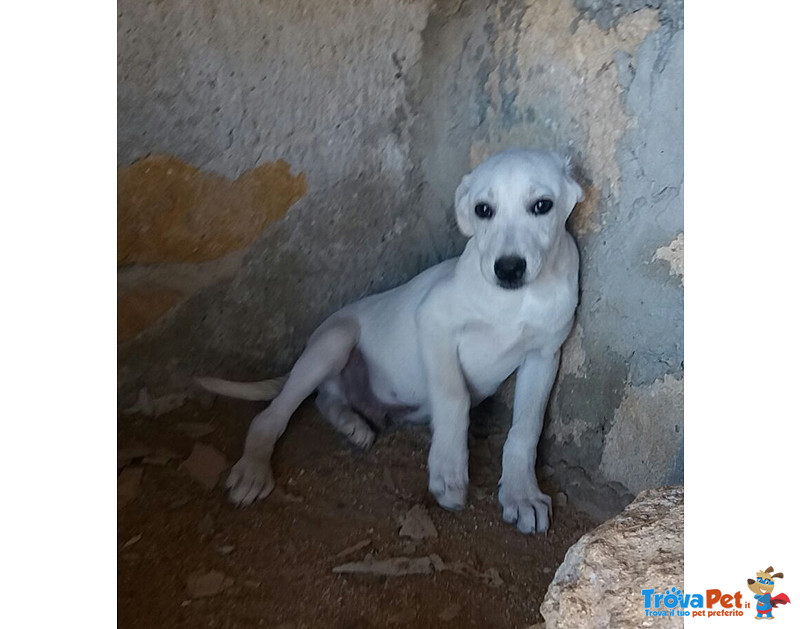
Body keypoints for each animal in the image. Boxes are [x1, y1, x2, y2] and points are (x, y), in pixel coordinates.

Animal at [196, 148, 580, 536]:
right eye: (483, 209)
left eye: (542, 205)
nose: (509, 269)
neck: (515, 301)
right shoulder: (433, 321)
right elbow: (454, 398)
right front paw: (448, 469)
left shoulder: (543, 356)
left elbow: (525, 428)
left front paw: (522, 494)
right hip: (334, 341)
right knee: (272, 415)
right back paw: (254, 469)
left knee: (326, 399)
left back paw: (352, 425)